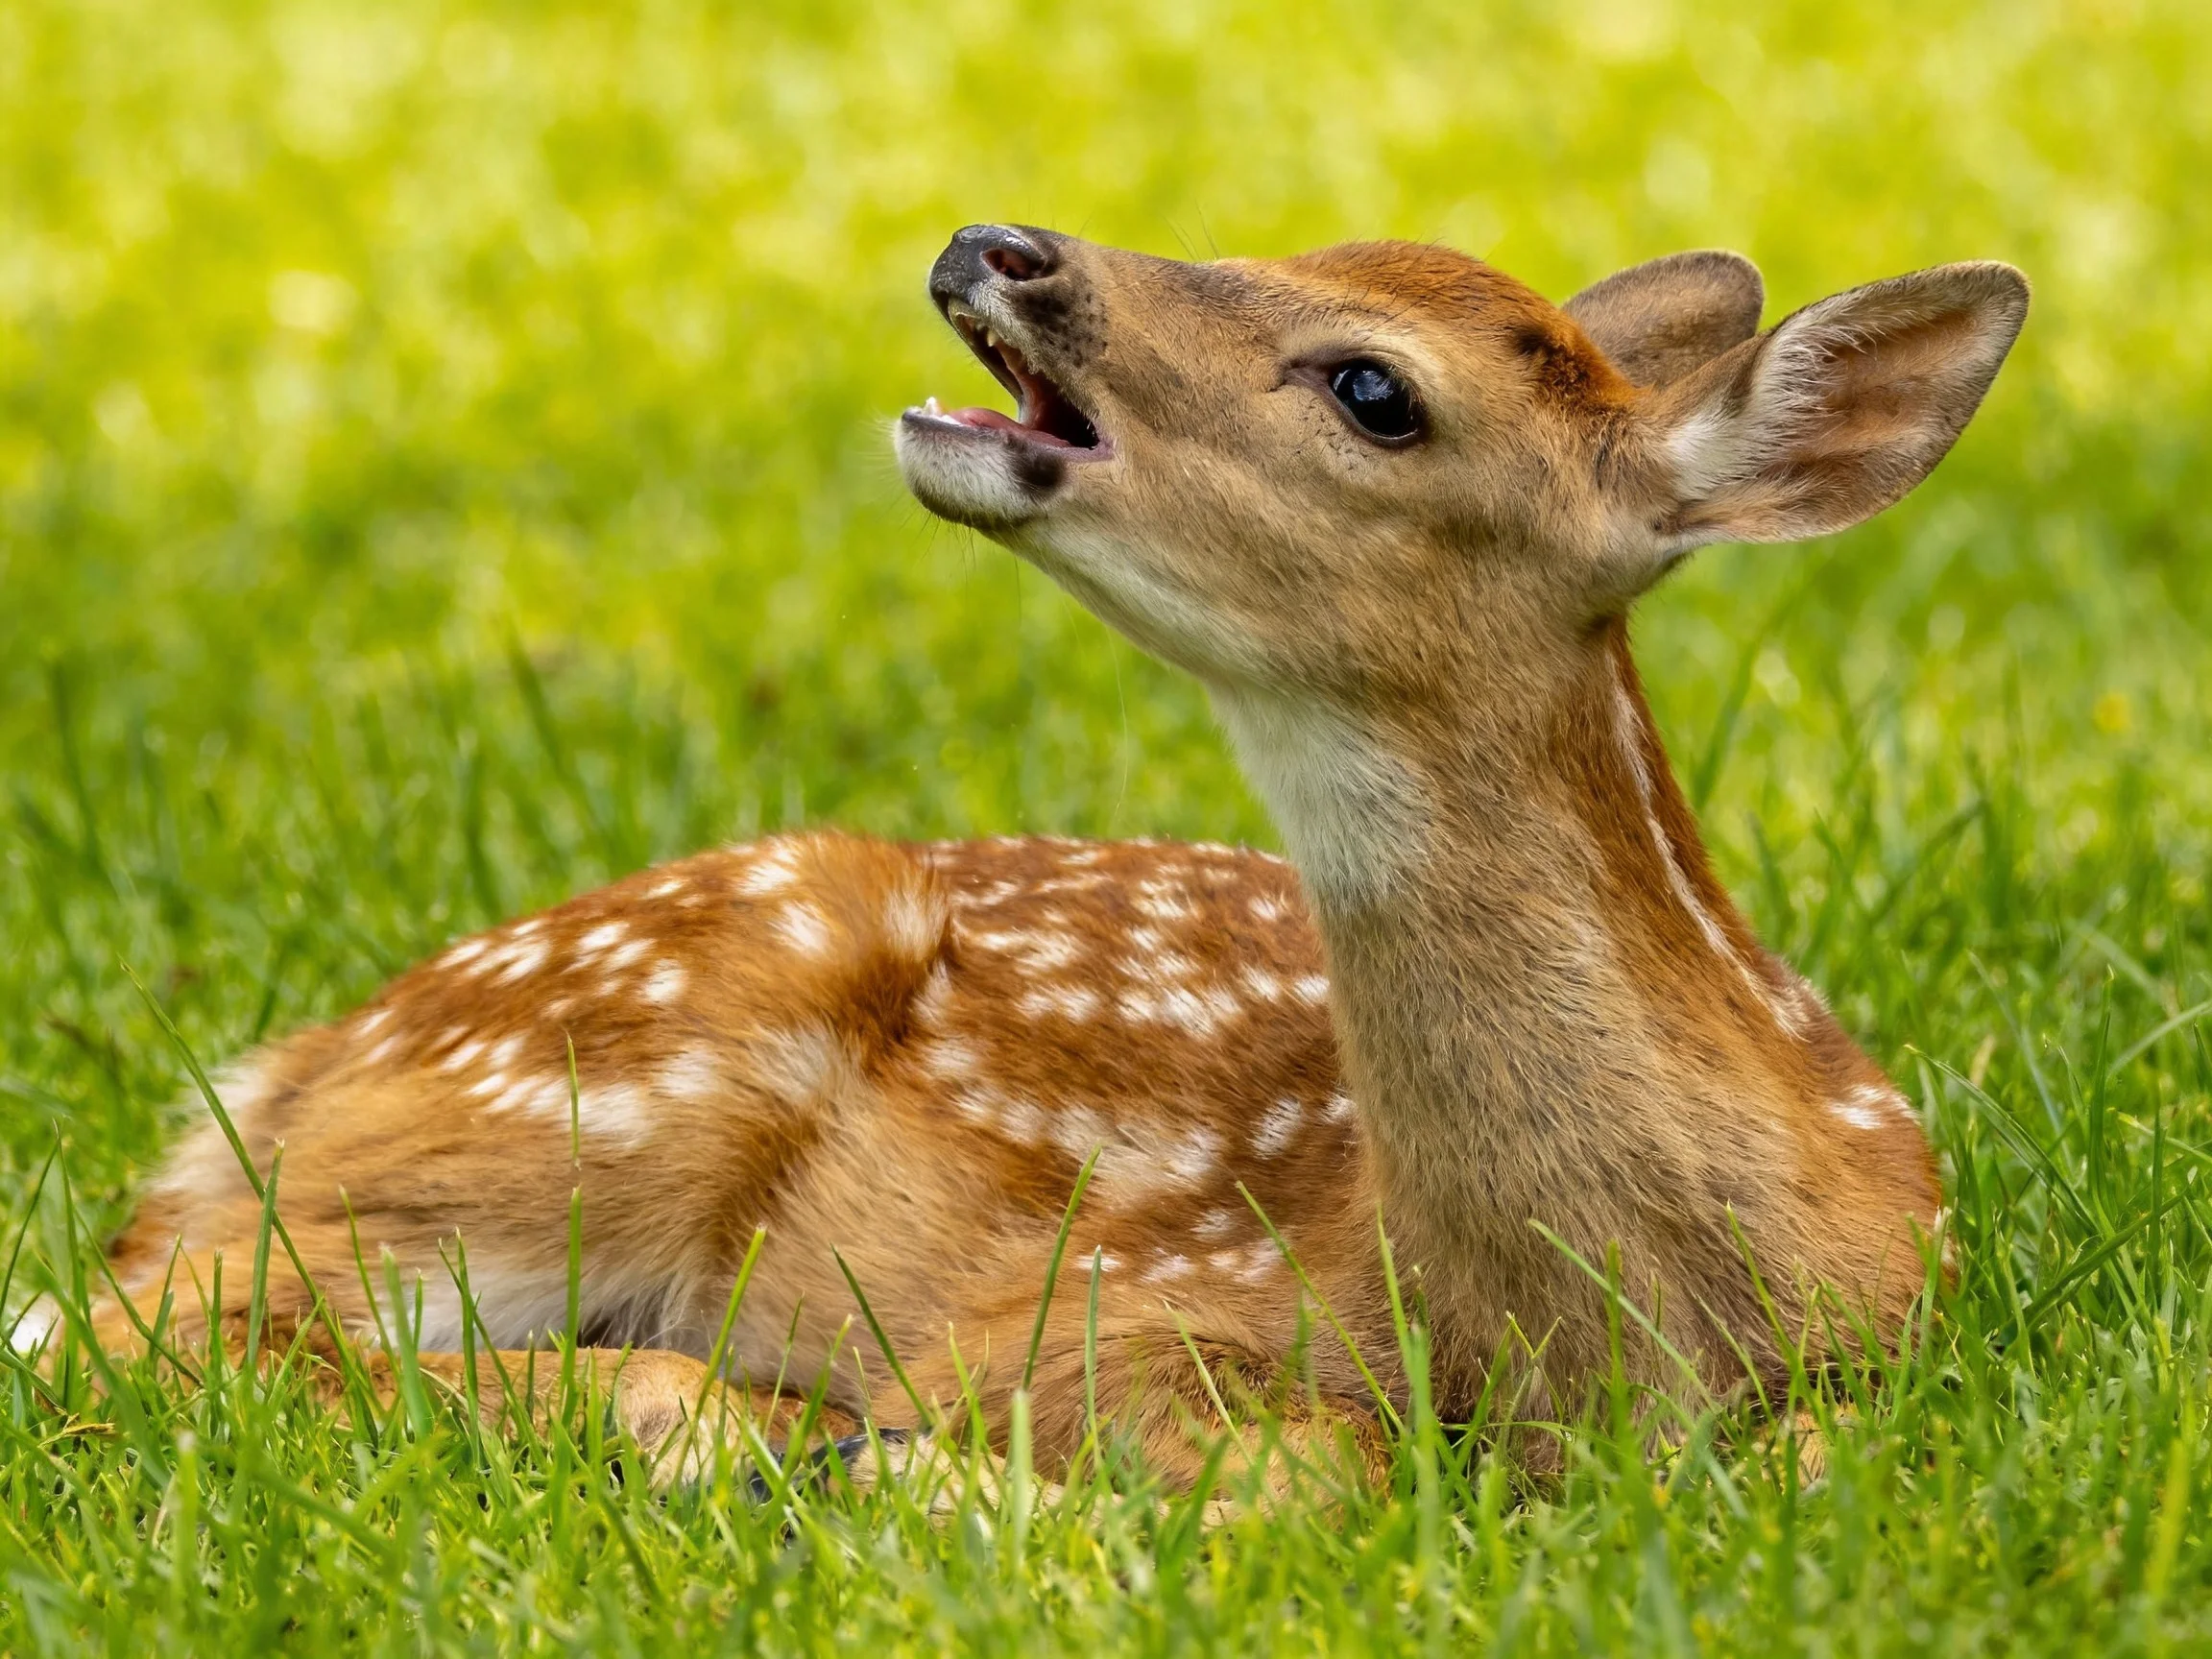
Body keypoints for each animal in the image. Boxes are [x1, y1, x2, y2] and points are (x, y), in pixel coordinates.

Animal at [49, 223, 2026, 1505]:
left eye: (1373, 386)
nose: (1002, 242)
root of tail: (278, 1067)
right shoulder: (1084, 1305)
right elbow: (1306, 1469)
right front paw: (916, 1469)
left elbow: (1814, 1458)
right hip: (607, 1078)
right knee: (125, 1318)